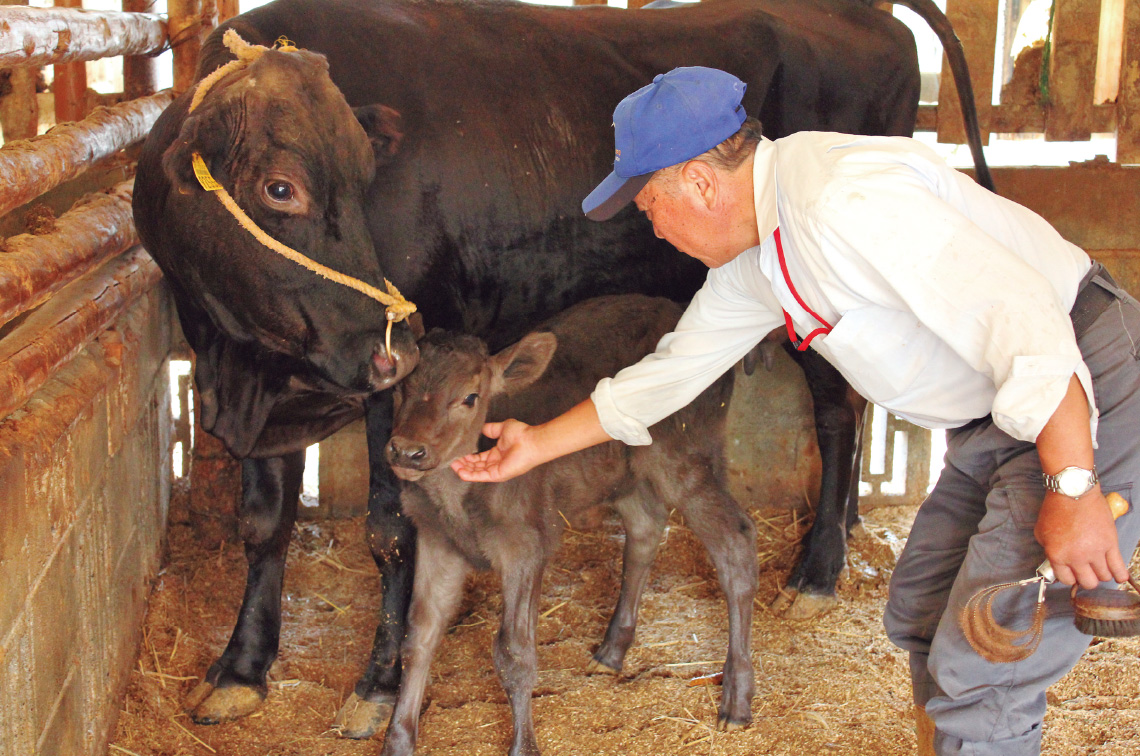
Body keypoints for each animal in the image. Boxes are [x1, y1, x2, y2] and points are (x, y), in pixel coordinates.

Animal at [380, 294, 756, 756]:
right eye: (401, 386)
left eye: (470, 396)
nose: (407, 451)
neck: (457, 506)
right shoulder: (437, 540)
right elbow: (420, 635)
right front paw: (397, 741)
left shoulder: (525, 545)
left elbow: (514, 653)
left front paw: (524, 746)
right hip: (624, 471)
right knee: (646, 529)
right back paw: (611, 651)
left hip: (683, 458)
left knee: (735, 542)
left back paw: (736, 700)